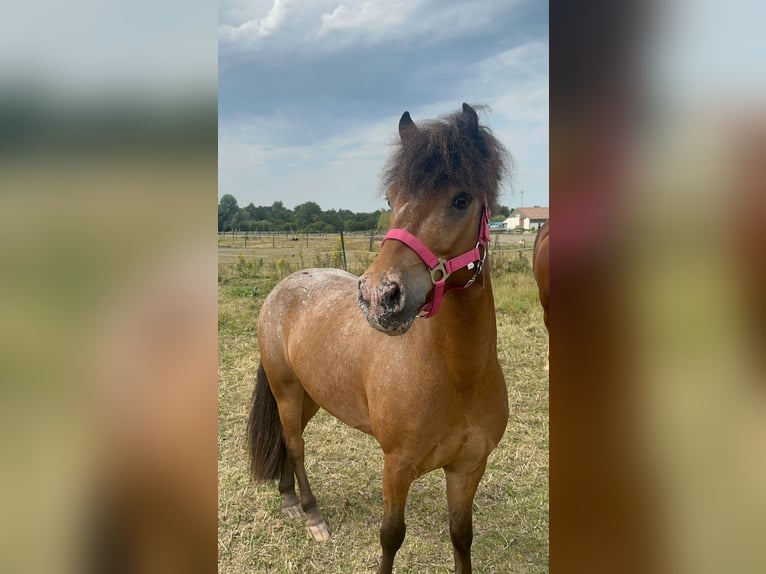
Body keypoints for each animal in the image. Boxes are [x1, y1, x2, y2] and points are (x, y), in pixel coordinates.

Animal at [249, 104, 512, 574]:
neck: (458, 378)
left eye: (461, 199)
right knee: (295, 446)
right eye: (391, 200)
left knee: (287, 439)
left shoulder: (468, 468)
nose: (379, 296)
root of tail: (283, 287)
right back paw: (311, 514)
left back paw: (288, 499)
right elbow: (391, 536)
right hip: (286, 391)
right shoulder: (396, 467)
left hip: (309, 395)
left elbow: (462, 536)